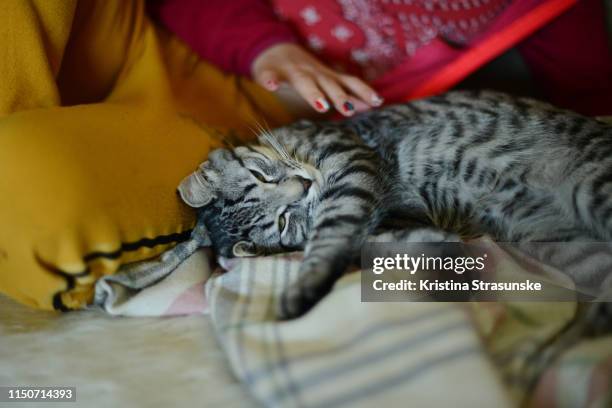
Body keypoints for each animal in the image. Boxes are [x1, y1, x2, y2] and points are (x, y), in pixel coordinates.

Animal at [177, 90, 612, 318]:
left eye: (260, 175)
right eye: (283, 223)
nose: (305, 185)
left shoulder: (350, 167)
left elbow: (330, 236)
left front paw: (305, 285)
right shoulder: (391, 218)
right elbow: (397, 245)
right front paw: (450, 273)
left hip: (592, 188)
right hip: (560, 242)